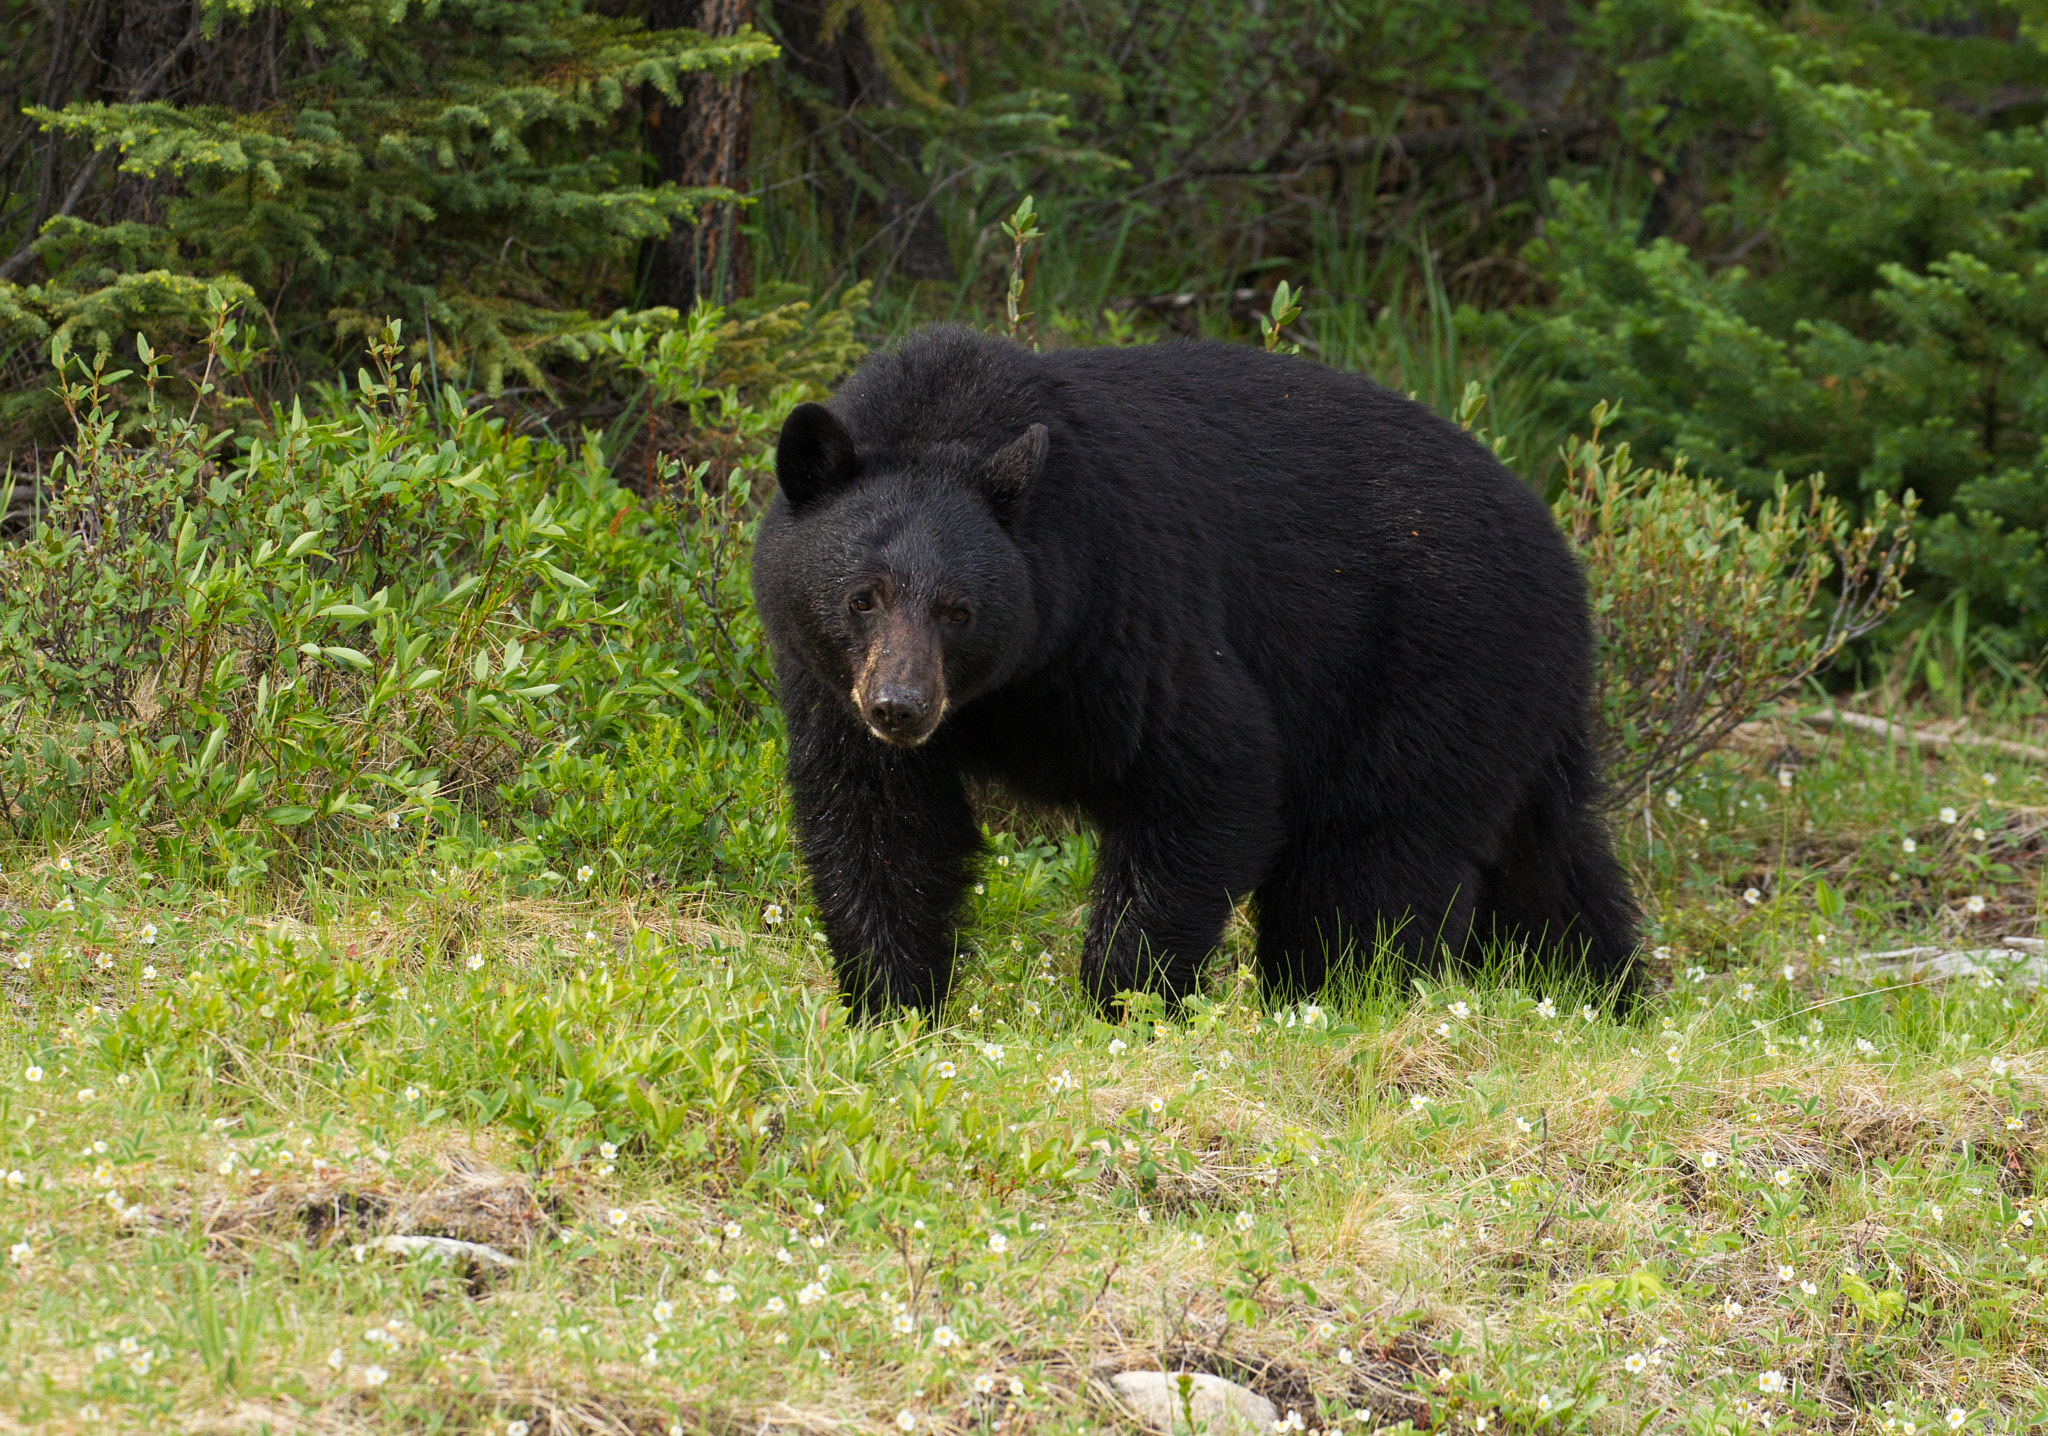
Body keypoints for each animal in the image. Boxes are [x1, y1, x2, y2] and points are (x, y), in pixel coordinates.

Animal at [750, 324, 1639, 1019]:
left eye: (957, 608)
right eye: (863, 596)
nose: (900, 706)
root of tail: (1565, 561)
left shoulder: (1122, 607)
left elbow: (1206, 773)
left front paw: (1121, 1000)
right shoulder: (830, 684)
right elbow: (878, 821)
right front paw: (891, 1004)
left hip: (1432, 665)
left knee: (1367, 857)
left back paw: (1330, 996)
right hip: (1512, 703)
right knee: (1551, 860)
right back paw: (1599, 991)